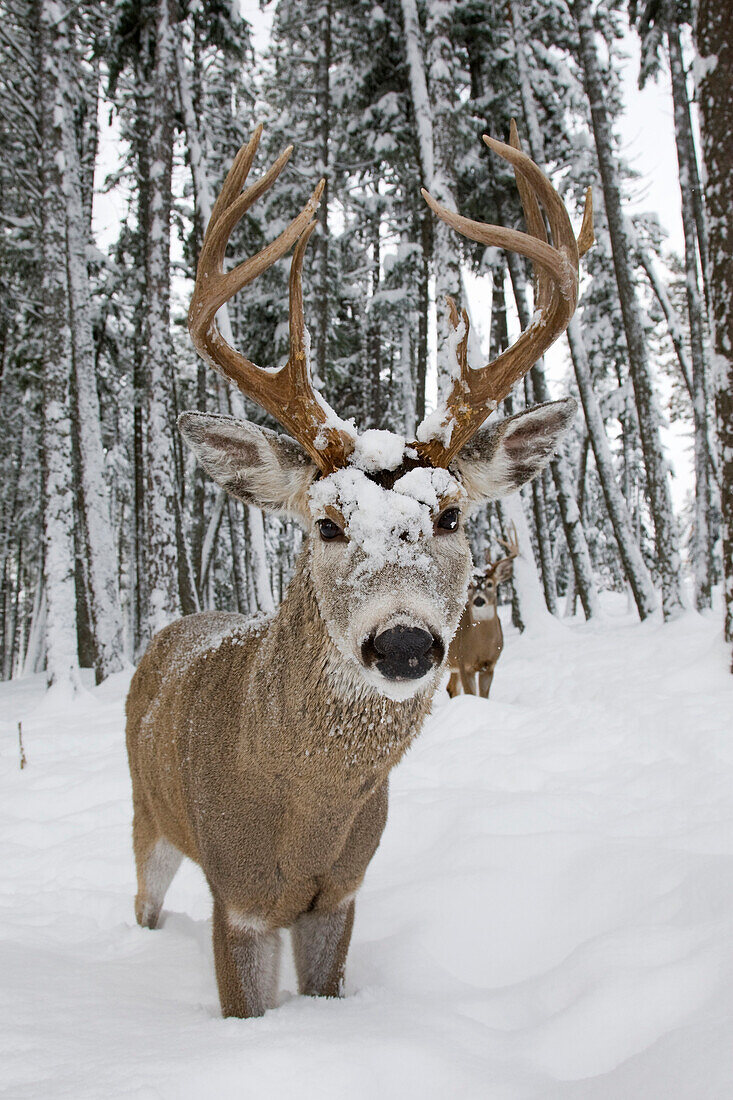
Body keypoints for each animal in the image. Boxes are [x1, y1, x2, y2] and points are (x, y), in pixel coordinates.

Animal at [444, 523, 519, 695]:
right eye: (470, 586)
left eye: (490, 584)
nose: (479, 600)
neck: (482, 647)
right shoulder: (464, 663)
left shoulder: (490, 666)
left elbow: (484, 696)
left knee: (451, 688)